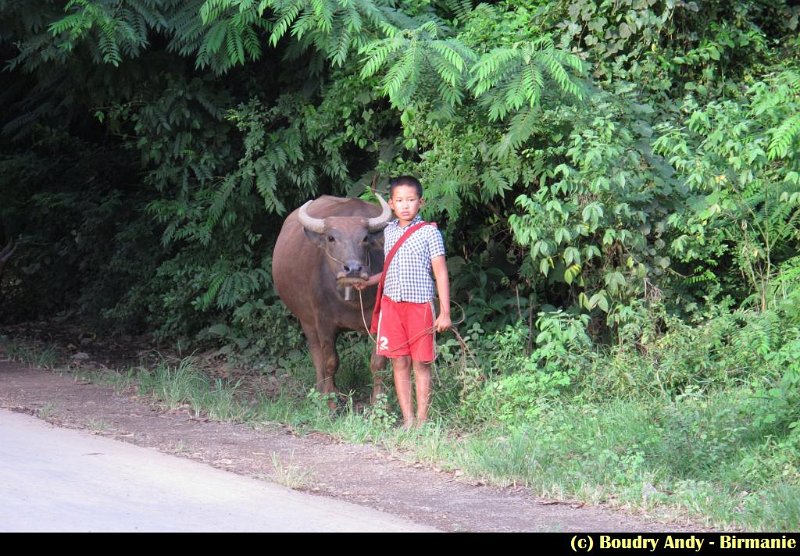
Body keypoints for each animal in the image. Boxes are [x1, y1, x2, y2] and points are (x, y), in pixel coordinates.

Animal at [272, 194, 390, 404]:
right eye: (331, 238)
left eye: (365, 238)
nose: (353, 269)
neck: (351, 300)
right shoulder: (324, 322)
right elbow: (330, 362)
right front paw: (331, 402)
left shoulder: (379, 321)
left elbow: (378, 363)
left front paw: (378, 402)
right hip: (306, 320)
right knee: (316, 353)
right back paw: (322, 390)